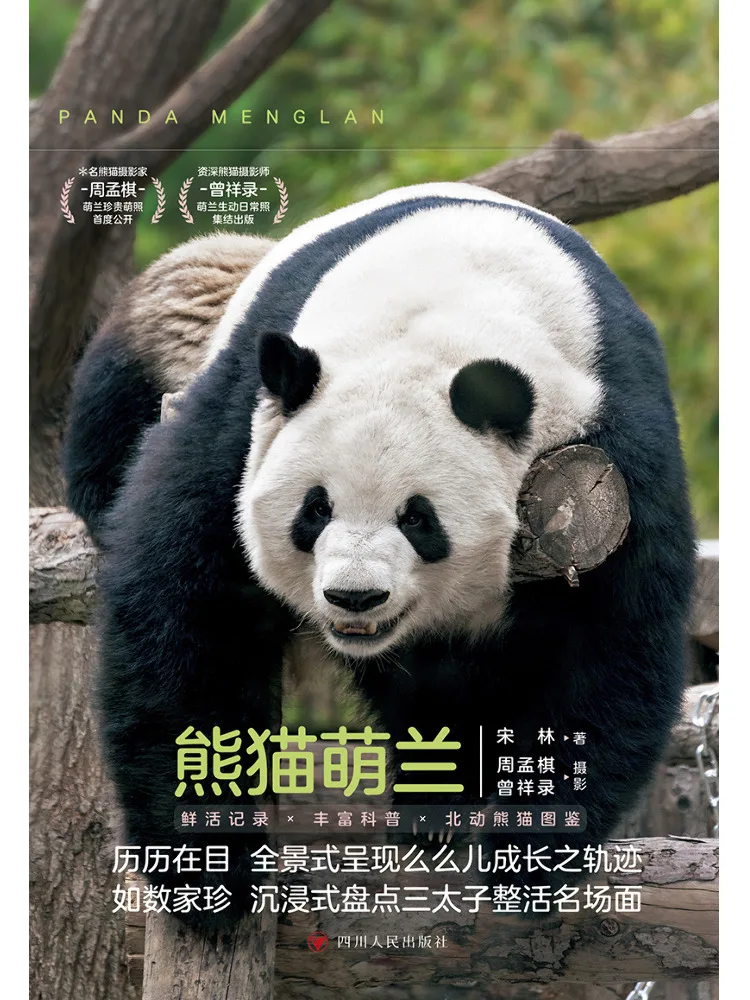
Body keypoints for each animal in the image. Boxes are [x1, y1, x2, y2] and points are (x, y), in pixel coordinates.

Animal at [63, 181, 695, 924]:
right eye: (315, 509)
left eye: (418, 519)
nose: (354, 597)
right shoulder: (248, 415)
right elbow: (188, 605)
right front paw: (207, 872)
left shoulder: (612, 460)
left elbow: (613, 644)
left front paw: (526, 859)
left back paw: (440, 804)